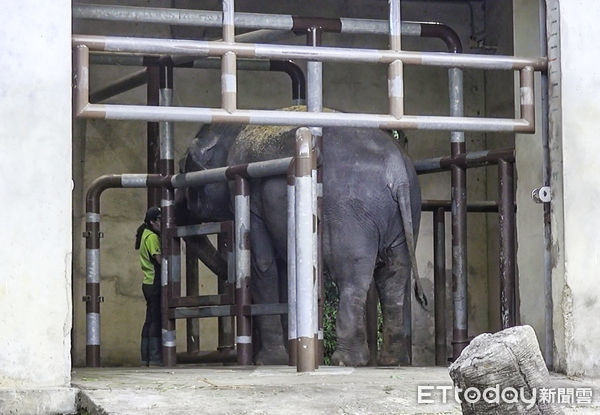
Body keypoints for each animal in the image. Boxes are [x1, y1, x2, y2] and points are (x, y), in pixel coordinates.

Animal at [176, 110, 424, 368]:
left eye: (182, 169)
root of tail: (397, 173)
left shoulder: (252, 202)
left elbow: (262, 264)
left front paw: (269, 360)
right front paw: (287, 356)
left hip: (352, 214)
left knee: (351, 277)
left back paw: (345, 360)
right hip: (406, 211)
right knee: (394, 276)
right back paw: (392, 361)